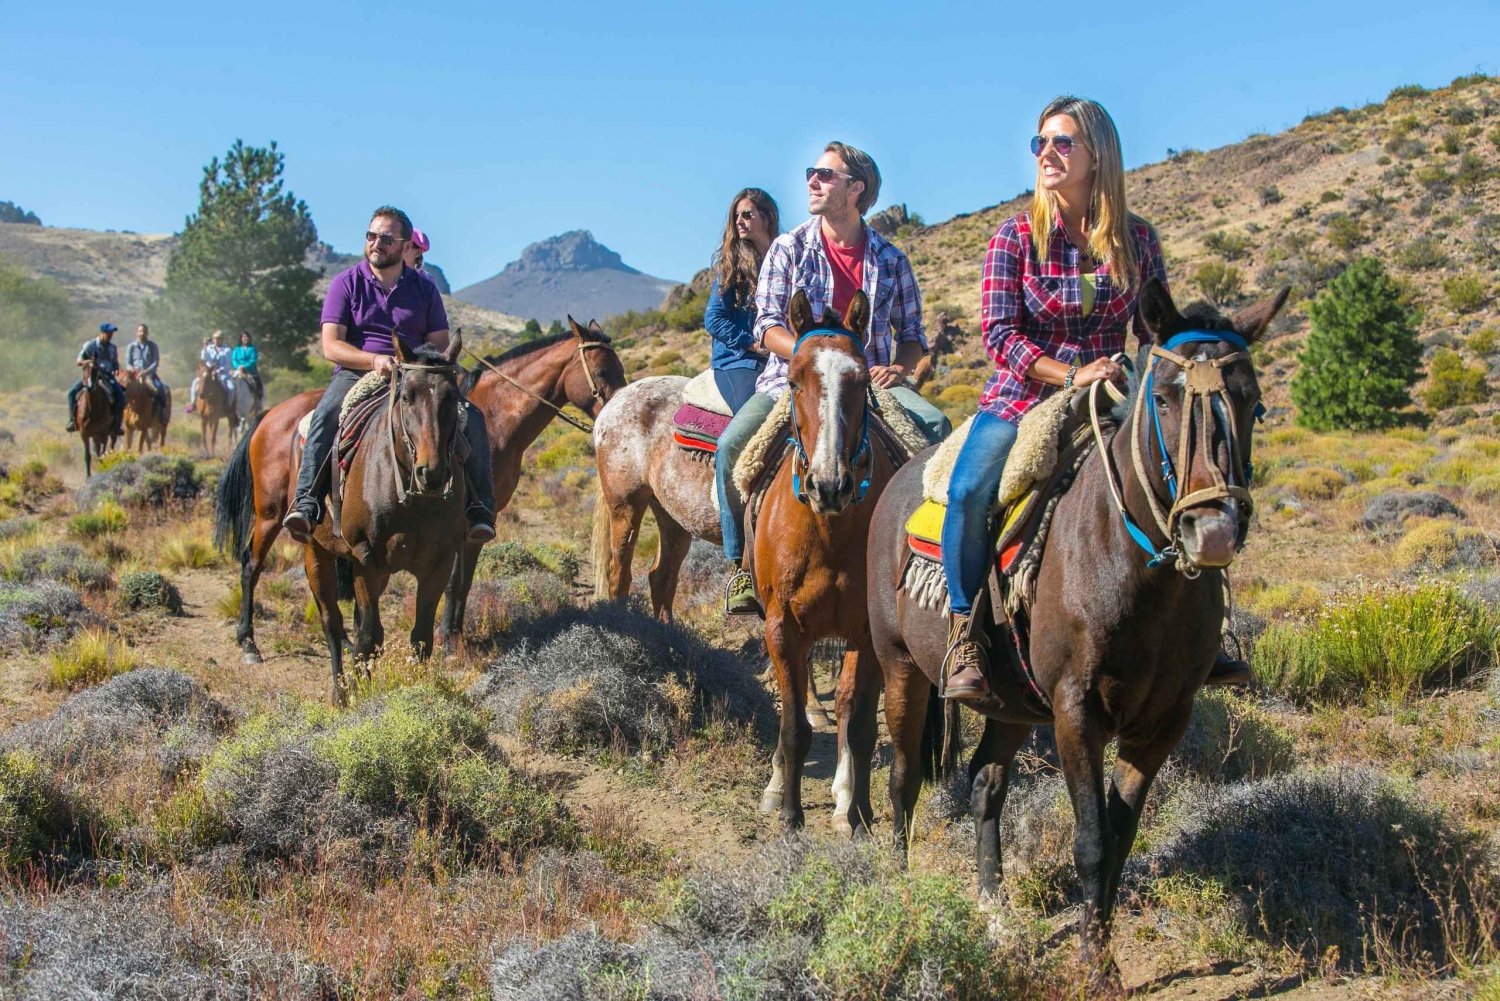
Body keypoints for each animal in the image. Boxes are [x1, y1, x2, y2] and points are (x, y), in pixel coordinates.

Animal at [301, 336, 465, 705]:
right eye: (406, 396)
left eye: (453, 397)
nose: (432, 474)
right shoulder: (367, 560)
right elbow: (368, 637)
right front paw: (363, 695)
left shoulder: (439, 562)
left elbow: (421, 636)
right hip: (314, 550)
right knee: (332, 622)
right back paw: (340, 692)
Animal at [750, 289, 900, 840]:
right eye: (795, 381)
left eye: (862, 380)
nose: (829, 484)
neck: (830, 532)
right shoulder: (781, 628)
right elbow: (793, 725)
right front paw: (791, 816)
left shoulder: (868, 634)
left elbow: (858, 726)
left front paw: (857, 815)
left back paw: (846, 800)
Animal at [864, 277, 1284, 984]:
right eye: (1163, 398)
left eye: (1251, 401)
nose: (1214, 529)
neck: (1136, 573)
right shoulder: (1074, 711)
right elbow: (1090, 840)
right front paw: (1095, 967)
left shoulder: (1163, 721)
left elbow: (1120, 837)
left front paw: (1100, 944)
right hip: (900, 669)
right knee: (903, 776)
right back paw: (896, 889)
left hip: (1009, 702)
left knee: (985, 784)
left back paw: (997, 914)